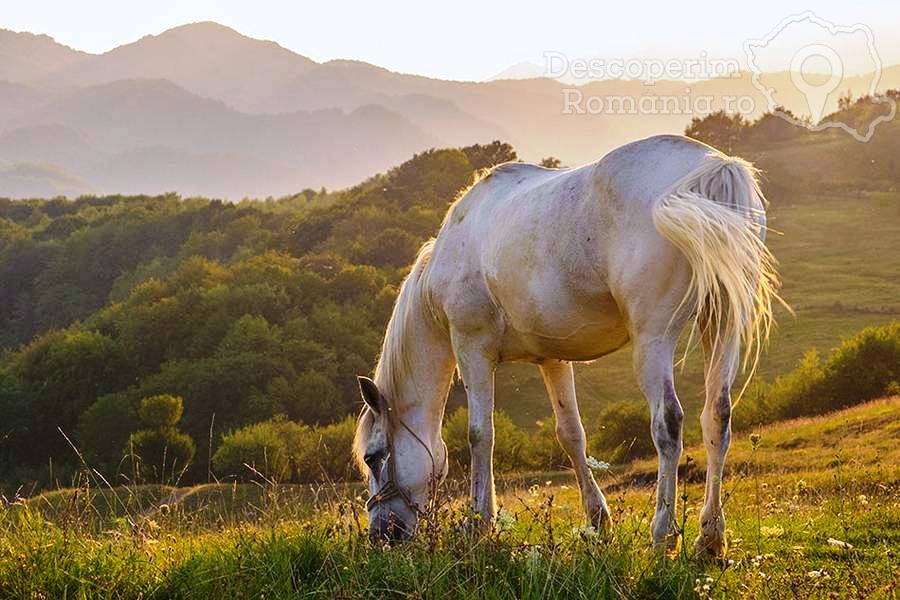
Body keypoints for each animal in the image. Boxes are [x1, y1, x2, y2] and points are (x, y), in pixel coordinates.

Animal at [352, 134, 780, 556]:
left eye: (373, 458)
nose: (381, 535)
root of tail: (713, 167)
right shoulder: (552, 358)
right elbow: (571, 433)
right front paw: (597, 521)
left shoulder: (472, 349)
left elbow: (480, 435)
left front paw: (479, 523)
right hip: (722, 327)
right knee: (717, 416)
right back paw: (710, 537)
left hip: (654, 339)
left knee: (668, 423)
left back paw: (663, 534)